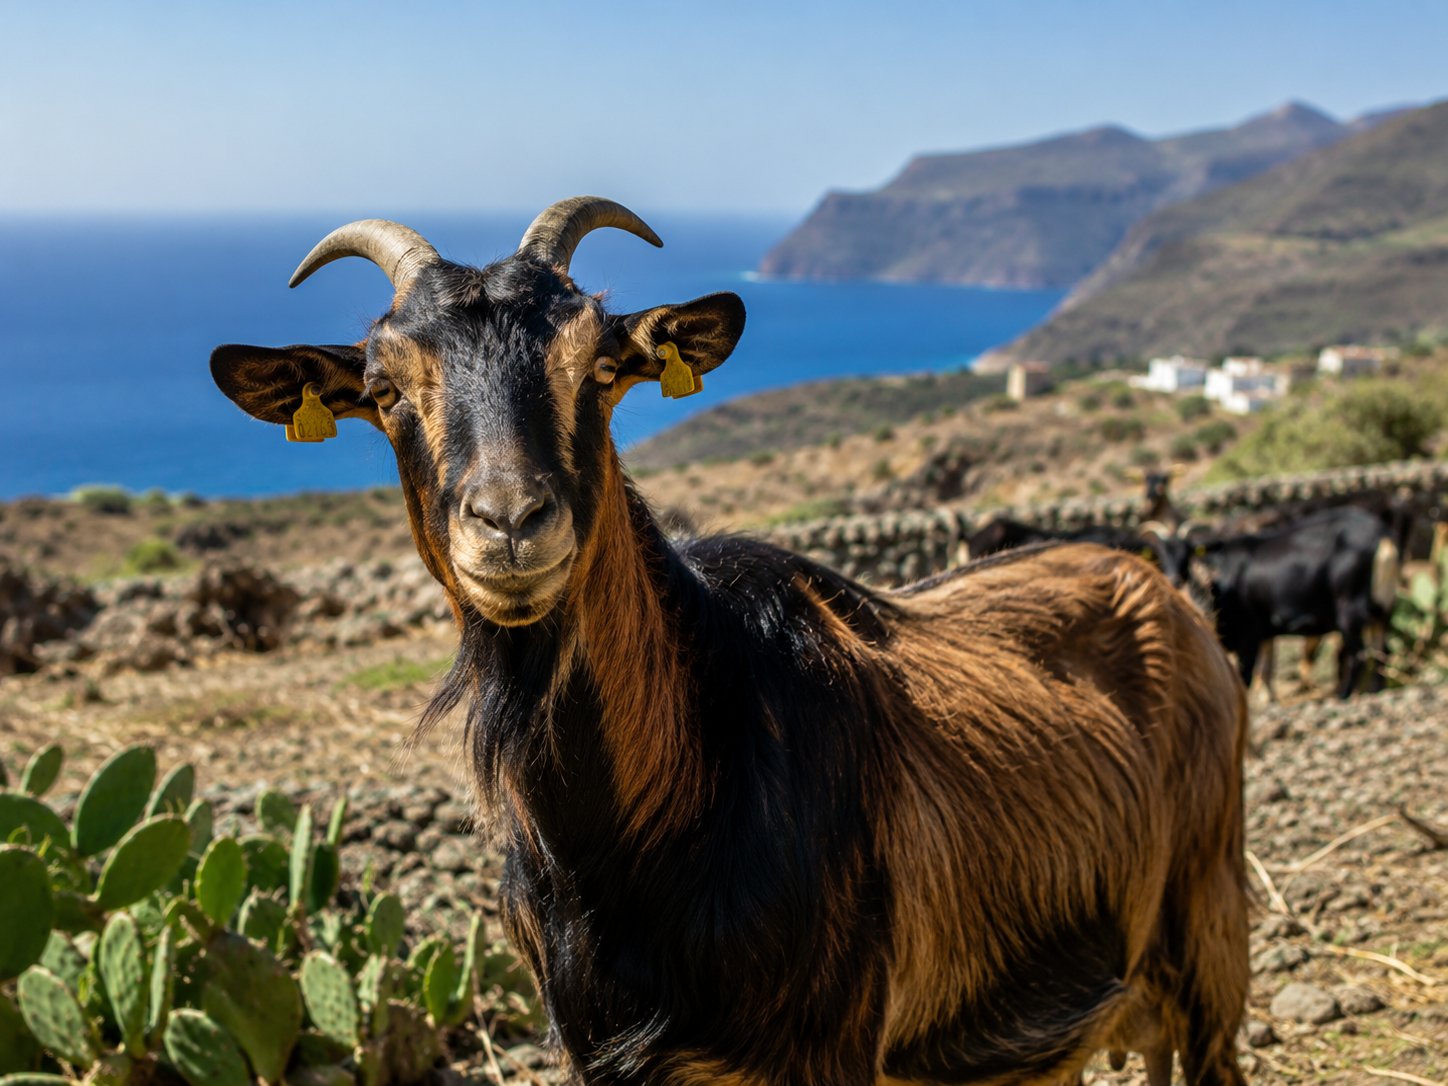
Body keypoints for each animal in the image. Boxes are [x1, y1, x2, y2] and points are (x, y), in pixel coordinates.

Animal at [211, 198, 1250, 1086]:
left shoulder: (831, 1044)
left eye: (600, 367)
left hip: (1209, 928)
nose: (510, 524)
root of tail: (1162, 590)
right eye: (385, 389)